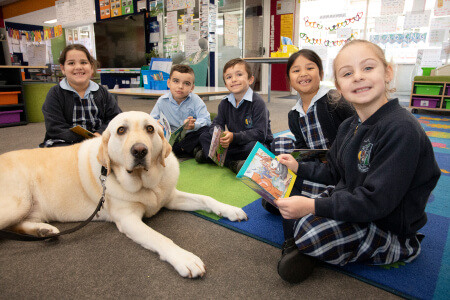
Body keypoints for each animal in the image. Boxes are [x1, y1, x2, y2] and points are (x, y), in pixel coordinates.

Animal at [0, 111, 246, 278]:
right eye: (121, 130)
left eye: (150, 129)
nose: (139, 150)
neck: (146, 184)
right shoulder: (128, 220)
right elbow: (160, 238)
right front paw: (184, 258)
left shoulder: (170, 197)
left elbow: (206, 198)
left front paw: (230, 210)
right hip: (18, 202)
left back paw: (44, 231)